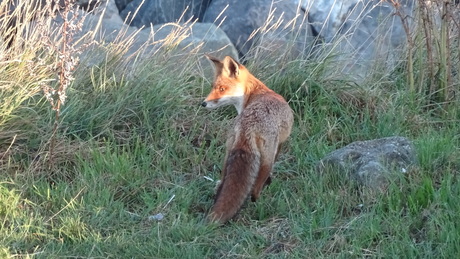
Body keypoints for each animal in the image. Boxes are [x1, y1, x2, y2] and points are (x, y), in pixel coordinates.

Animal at [202, 55, 294, 225]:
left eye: (221, 89)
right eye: (214, 87)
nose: (203, 103)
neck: (256, 94)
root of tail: (248, 126)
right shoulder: (279, 144)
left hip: (227, 154)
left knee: (223, 182)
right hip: (266, 159)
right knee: (255, 188)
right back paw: (257, 201)